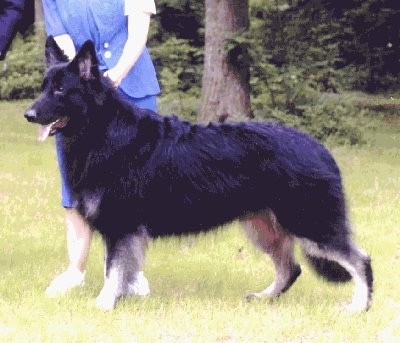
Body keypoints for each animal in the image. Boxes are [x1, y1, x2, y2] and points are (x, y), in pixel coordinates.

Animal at [24, 37, 372, 312]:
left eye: (60, 90)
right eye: (43, 88)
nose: (28, 114)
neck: (103, 129)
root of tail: (320, 148)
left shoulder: (121, 227)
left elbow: (114, 270)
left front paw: (105, 303)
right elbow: (122, 269)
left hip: (309, 225)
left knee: (360, 261)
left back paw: (359, 307)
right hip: (264, 228)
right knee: (291, 268)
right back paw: (264, 298)